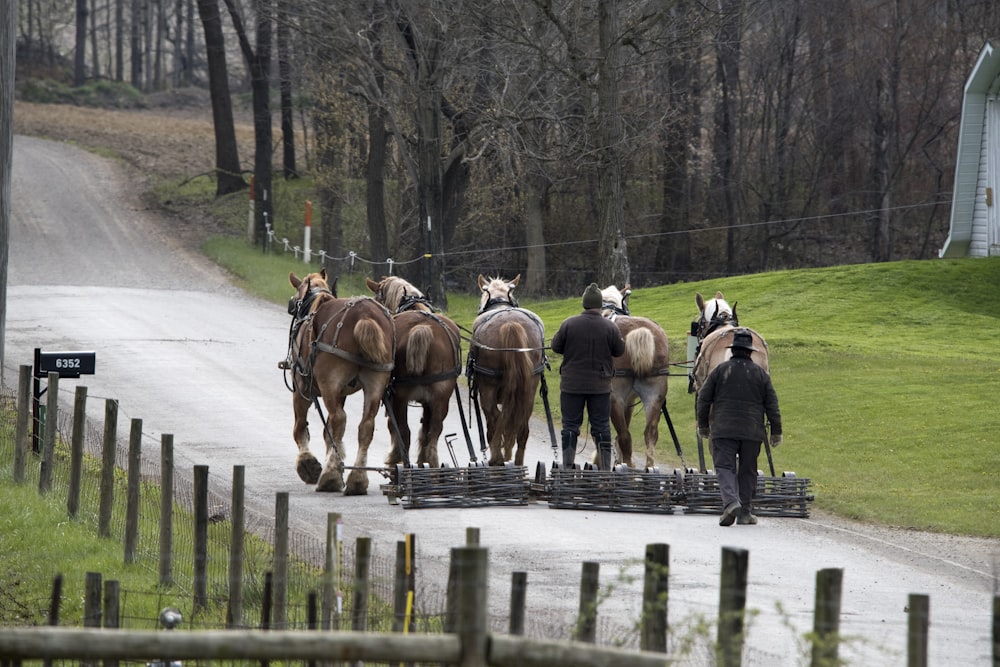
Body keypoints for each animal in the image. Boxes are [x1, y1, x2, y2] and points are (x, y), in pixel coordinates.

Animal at [286, 272, 394, 496]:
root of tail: (365, 315)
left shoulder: (301, 388)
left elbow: (300, 428)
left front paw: (308, 464)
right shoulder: (342, 393)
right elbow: (328, 434)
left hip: (329, 384)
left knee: (339, 419)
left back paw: (330, 478)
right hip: (376, 382)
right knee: (365, 426)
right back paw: (357, 479)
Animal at [366, 276, 462, 470]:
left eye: (379, 298)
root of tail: (422, 329)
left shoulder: (393, 397)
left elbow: (394, 426)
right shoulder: (428, 403)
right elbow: (425, 429)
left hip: (400, 398)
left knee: (403, 430)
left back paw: (398, 459)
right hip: (441, 398)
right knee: (434, 431)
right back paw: (430, 462)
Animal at [468, 274, 548, 468]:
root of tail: (511, 324)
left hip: (487, 389)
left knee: (494, 420)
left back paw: (496, 457)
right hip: (529, 388)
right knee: (522, 426)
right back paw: (517, 461)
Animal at [600, 286, 672, 470]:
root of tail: (639, 332)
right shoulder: (630, 400)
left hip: (615, 398)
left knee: (625, 435)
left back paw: (627, 464)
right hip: (654, 395)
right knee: (650, 433)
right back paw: (648, 467)